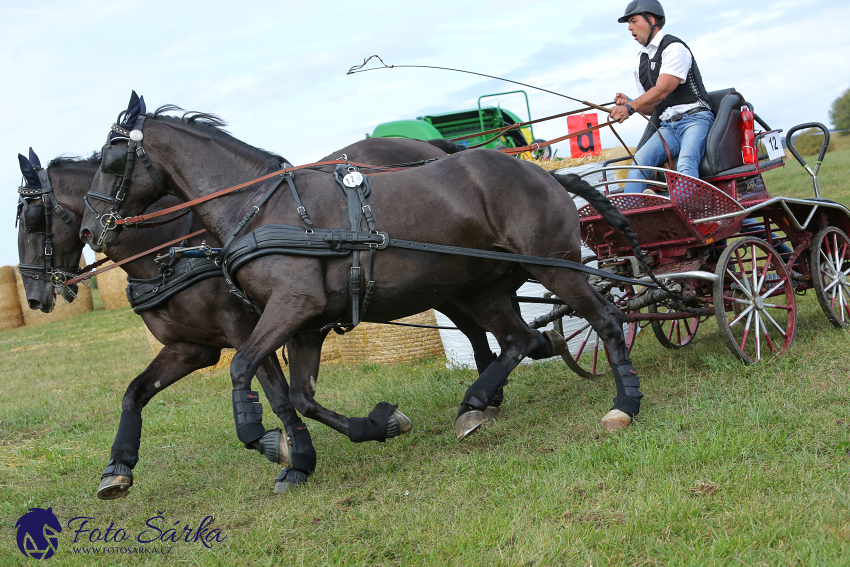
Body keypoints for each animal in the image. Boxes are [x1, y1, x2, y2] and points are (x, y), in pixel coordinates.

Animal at [81, 98, 644, 466]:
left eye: (110, 157)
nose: (91, 229)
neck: (260, 208)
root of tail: (546, 174)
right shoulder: (305, 323)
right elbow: (300, 396)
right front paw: (375, 426)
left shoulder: (291, 306)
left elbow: (243, 369)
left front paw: (260, 435)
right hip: (482, 287)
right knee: (519, 339)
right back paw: (475, 404)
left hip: (556, 266)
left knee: (606, 319)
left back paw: (624, 405)